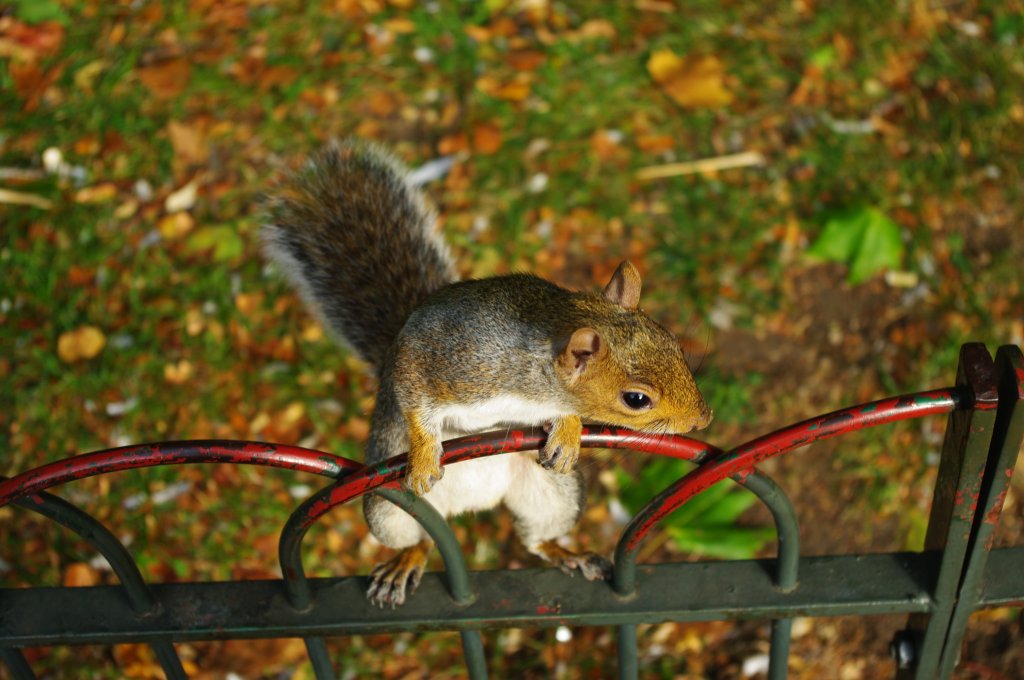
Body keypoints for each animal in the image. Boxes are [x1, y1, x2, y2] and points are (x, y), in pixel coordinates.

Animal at [262, 140, 712, 606]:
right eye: (636, 399)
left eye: (675, 345)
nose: (702, 419)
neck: (536, 374)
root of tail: (471, 504)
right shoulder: (444, 360)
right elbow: (415, 398)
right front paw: (424, 454)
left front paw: (568, 433)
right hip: (388, 512)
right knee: (418, 539)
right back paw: (404, 561)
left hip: (555, 495)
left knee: (537, 537)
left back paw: (566, 554)